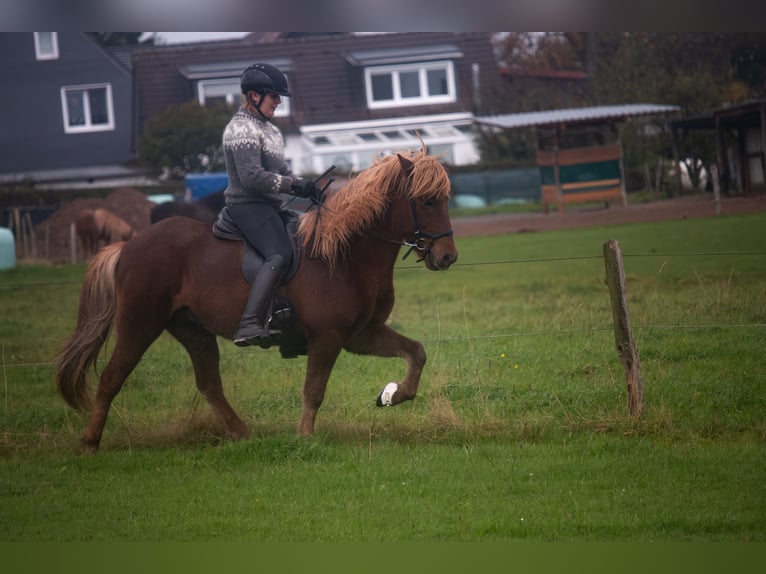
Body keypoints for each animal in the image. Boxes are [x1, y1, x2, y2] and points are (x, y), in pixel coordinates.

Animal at [55, 146, 458, 453]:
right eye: (427, 201)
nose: (447, 257)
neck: (346, 256)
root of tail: (129, 246)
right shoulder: (327, 339)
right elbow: (314, 391)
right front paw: (305, 438)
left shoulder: (361, 334)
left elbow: (416, 352)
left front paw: (392, 395)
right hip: (139, 324)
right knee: (112, 377)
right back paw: (90, 443)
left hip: (192, 330)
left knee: (209, 385)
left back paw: (243, 435)